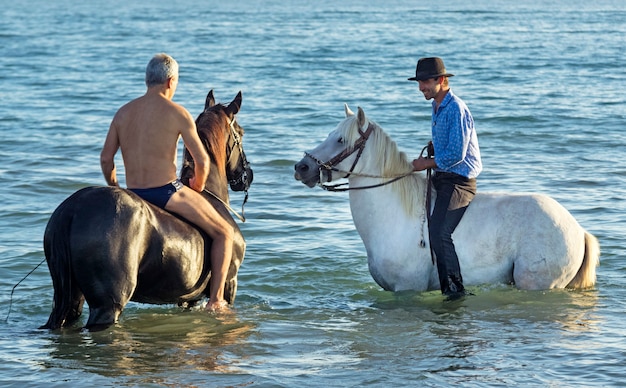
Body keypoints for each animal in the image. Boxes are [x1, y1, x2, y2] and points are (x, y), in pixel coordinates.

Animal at [294, 104, 596, 292]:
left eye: (341, 140)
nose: (302, 167)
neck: (392, 216)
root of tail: (578, 229)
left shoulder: (407, 288)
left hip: (539, 283)